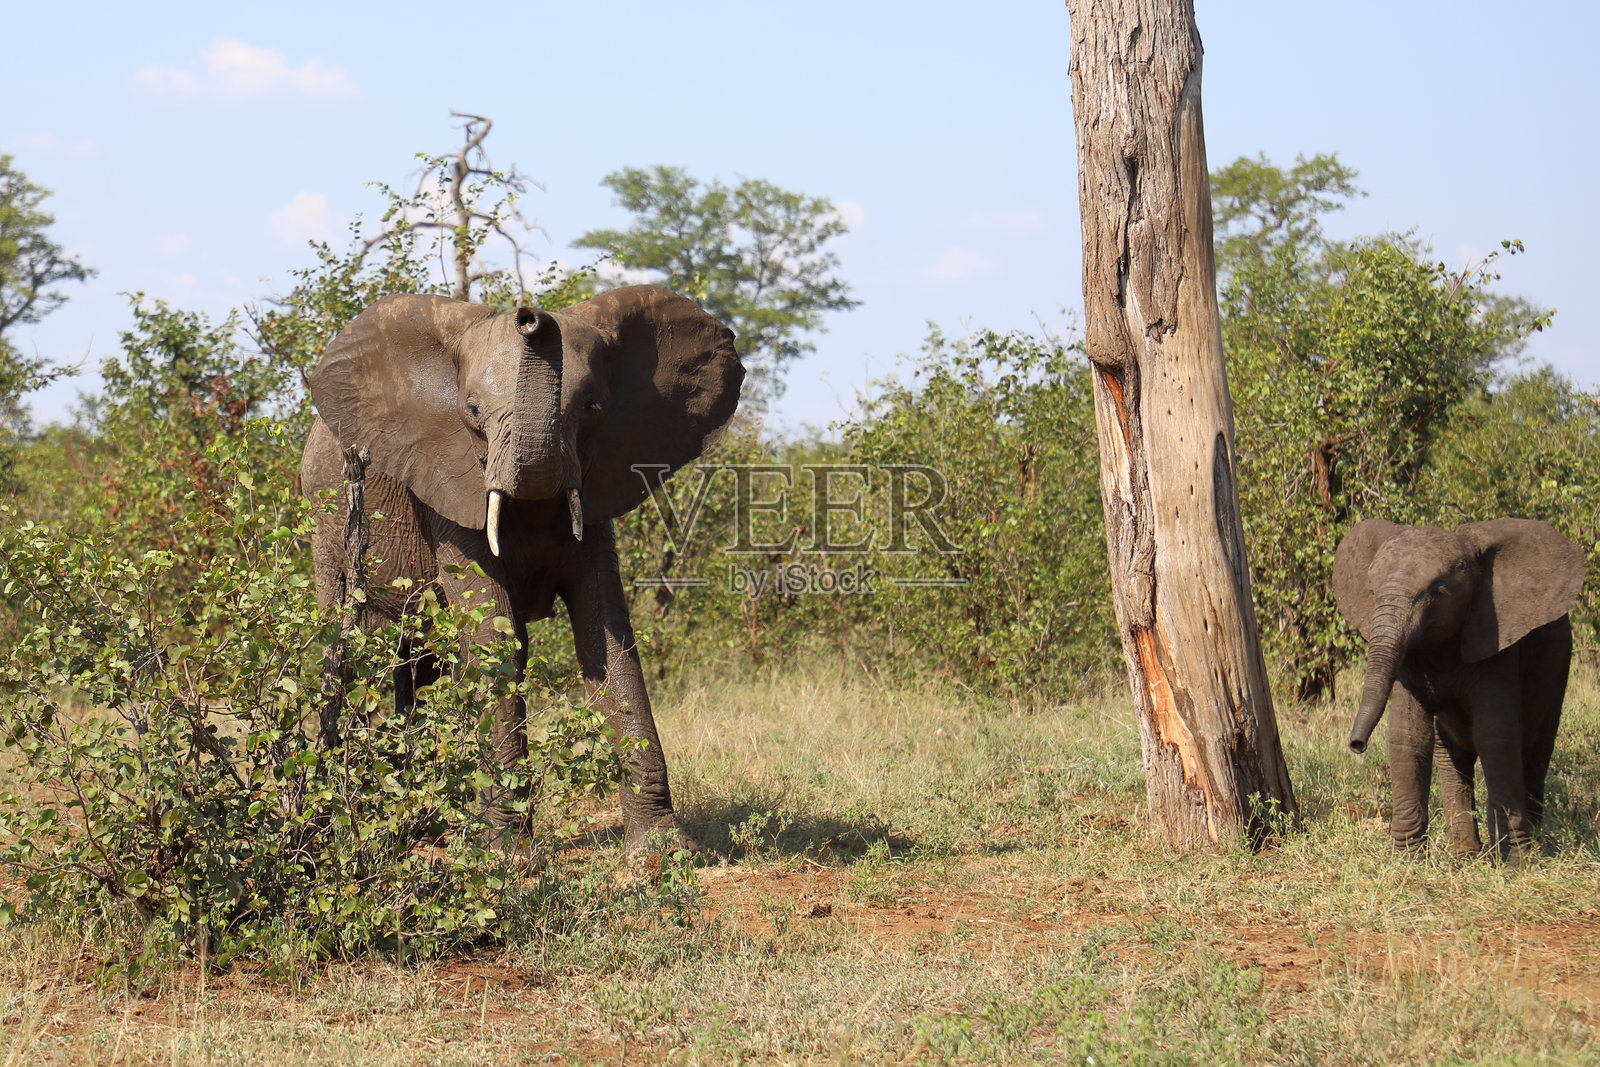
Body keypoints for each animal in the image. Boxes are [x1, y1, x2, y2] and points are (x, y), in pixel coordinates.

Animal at [300, 284, 742, 856]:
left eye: (592, 407)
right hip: (328, 523)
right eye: (471, 411)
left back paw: (416, 824)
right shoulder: (449, 482)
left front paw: (663, 852)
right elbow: (497, 635)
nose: (530, 315)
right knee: (353, 649)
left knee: (419, 661)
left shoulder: (597, 482)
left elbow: (606, 634)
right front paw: (510, 858)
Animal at [1332, 517, 1585, 859]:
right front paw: (1406, 861)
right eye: (1372, 591)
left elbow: (1495, 734)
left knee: (1536, 750)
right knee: (1452, 755)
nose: (1356, 744)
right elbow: (1408, 734)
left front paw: (1516, 863)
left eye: (1439, 591)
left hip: (1558, 664)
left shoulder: (1496, 639)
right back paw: (1465, 852)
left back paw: (1532, 848)